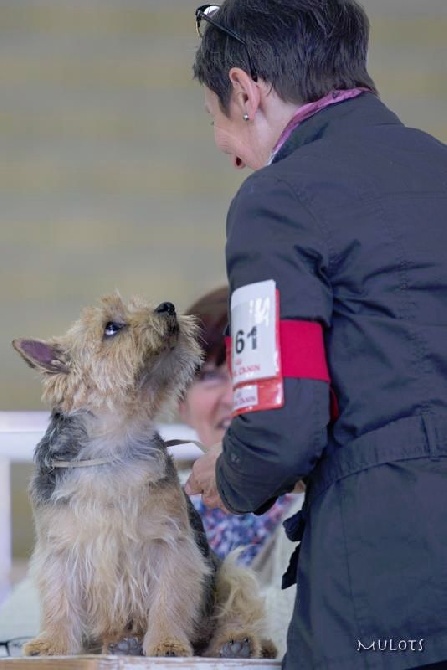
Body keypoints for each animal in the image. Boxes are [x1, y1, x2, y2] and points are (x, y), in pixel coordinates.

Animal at [12, 296, 274, 660]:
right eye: (111, 327)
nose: (167, 306)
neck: (115, 444)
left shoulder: (170, 545)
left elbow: (168, 600)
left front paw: (167, 642)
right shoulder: (60, 551)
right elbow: (58, 600)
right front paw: (51, 643)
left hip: (231, 572)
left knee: (234, 614)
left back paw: (234, 644)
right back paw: (124, 642)